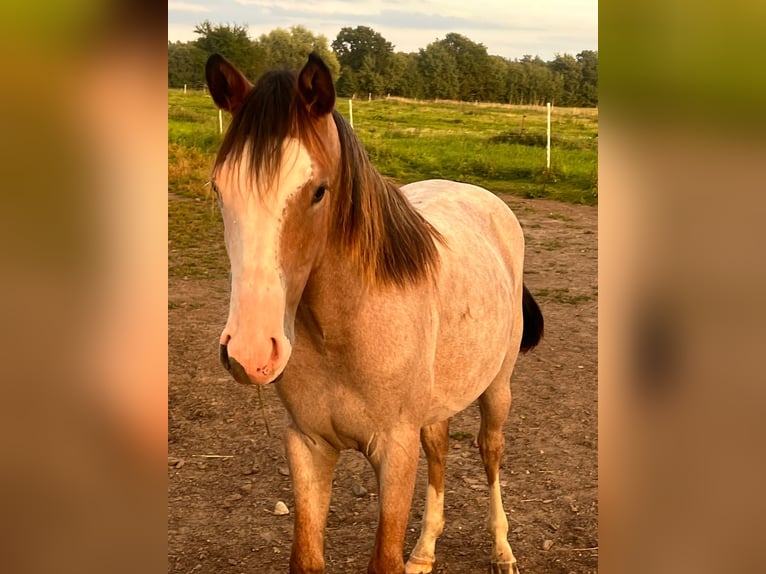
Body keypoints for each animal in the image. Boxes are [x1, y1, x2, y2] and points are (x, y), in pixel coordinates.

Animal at [205, 52, 544, 574]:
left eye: (318, 191)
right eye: (219, 188)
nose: (251, 352)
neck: (343, 334)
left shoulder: (394, 451)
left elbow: (384, 558)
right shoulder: (307, 447)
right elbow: (306, 558)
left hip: (497, 388)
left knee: (490, 451)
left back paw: (502, 550)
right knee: (439, 447)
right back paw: (424, 551)